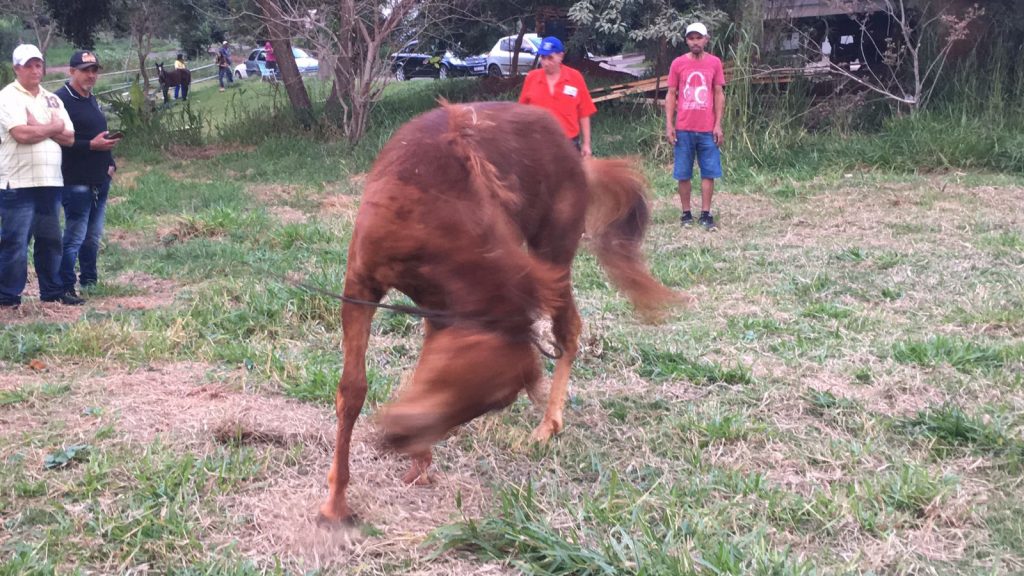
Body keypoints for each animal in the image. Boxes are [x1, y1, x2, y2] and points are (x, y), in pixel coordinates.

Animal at [317, 101, 689, 524]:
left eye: (489, 401)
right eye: (447, 377)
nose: (397, 436)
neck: (429, 211)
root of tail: (576, 157)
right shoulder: (362, 287)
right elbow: (353, 390)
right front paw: (337, 500)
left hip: (554, 252)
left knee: (568, 329)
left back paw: (549, 423)